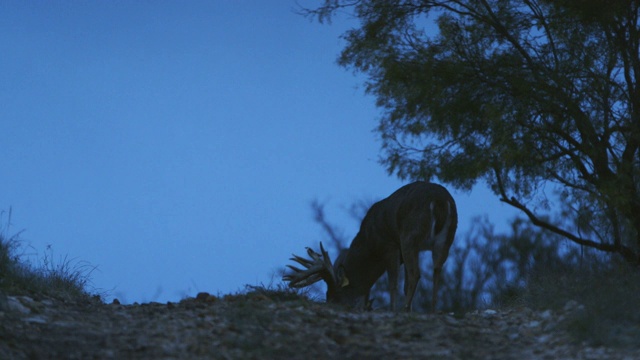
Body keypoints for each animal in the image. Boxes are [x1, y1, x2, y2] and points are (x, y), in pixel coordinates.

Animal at [282, 183, 458, 312]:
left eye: (335, 293)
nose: (332, 305)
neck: (369, 243)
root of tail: (440, 201)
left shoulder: (390, 245)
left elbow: (393, 283)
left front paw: (394, 309)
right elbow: (405, 285)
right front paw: (409, 310)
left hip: (409, 236)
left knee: (417, 273)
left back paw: (406, 308)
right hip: (446, 238)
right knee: (437, 270)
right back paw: (433, 309)